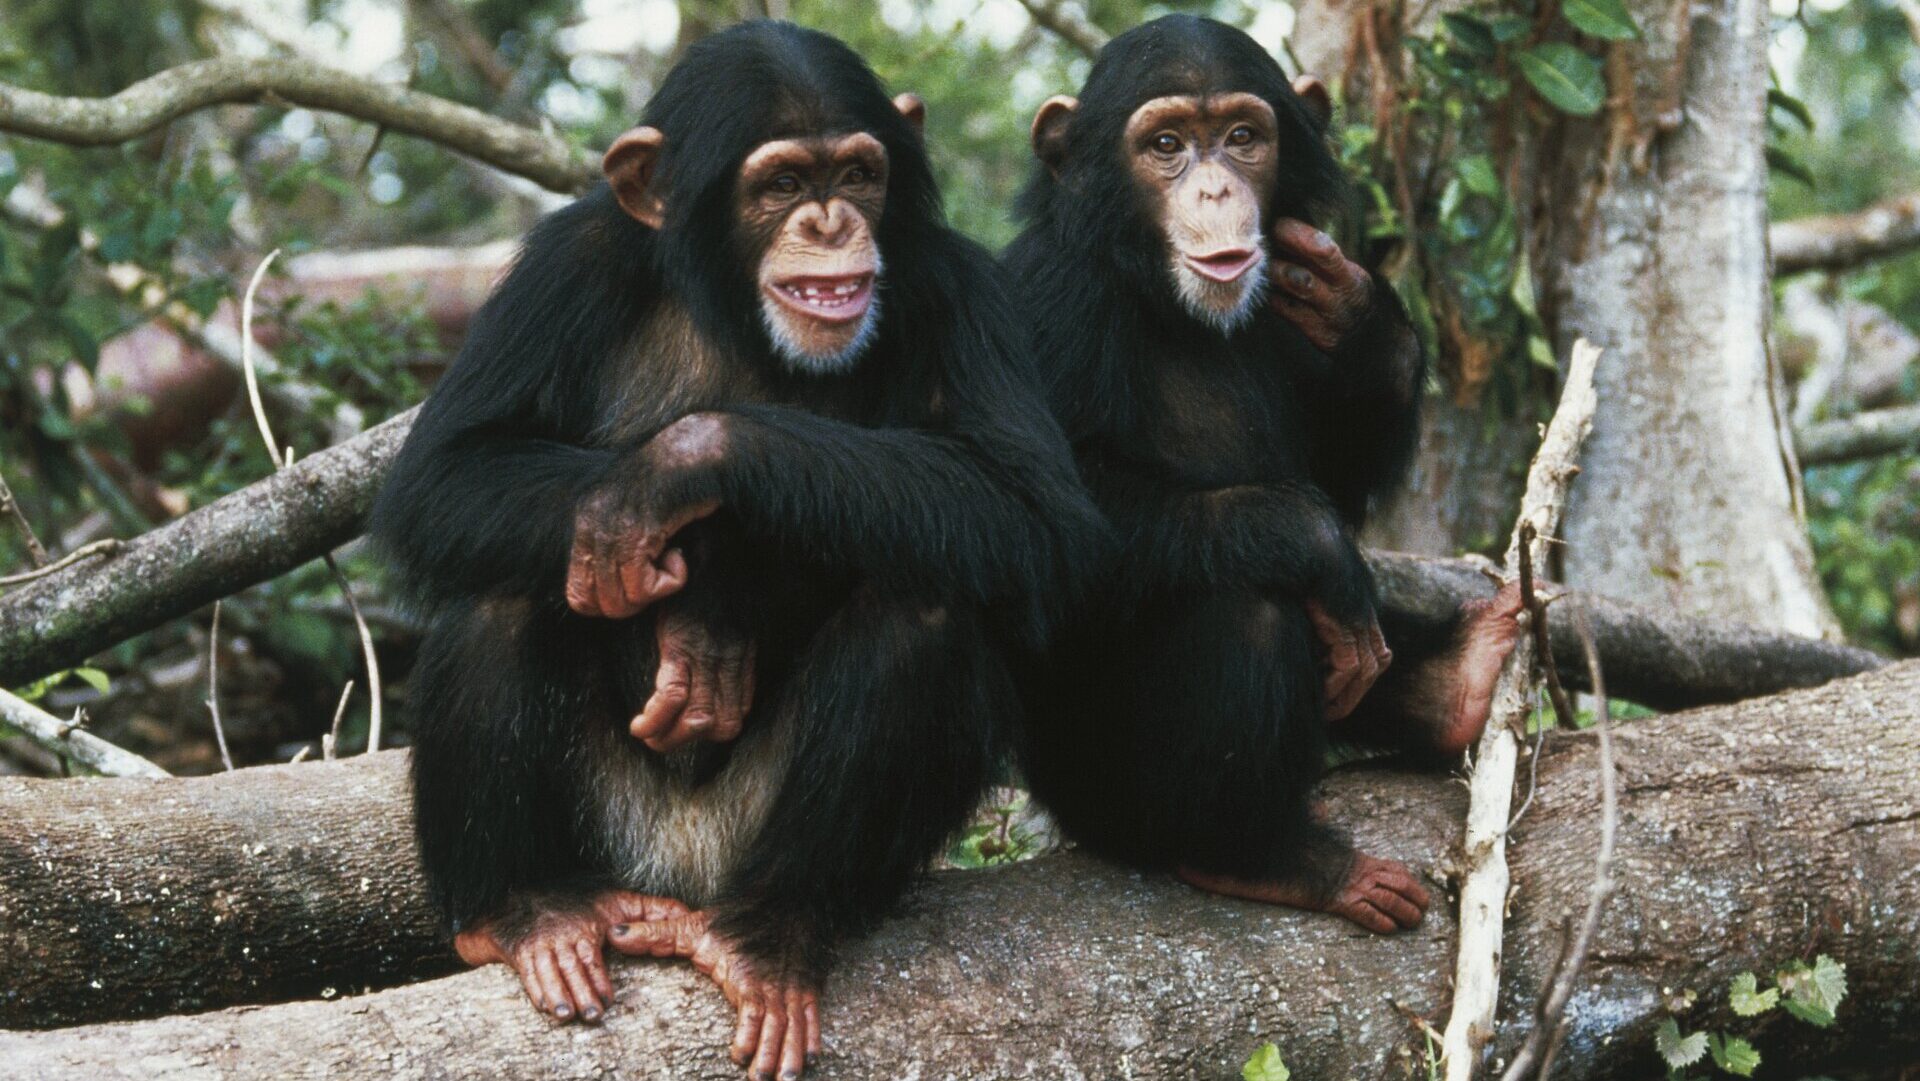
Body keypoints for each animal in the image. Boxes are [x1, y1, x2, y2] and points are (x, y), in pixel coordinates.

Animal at [366, 21, 1105, 1075]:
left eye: (859, 172)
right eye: (782, 183)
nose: (832, 224)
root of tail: (684, 876)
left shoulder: (962, 286)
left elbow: (1030, 509)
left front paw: (683, 497)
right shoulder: (566, 261)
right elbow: (447, 469)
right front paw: (685, 589)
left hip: (741, 841)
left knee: (927, 606)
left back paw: (766, 932)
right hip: (612, 835)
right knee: (501, 594)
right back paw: (525, 912)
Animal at [1013, 12, 1520, 933]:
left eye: (1243, 138)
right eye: (1167, 144)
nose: (1216, 190)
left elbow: (1336, 472)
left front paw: (1356, 311)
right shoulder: (1045, 301)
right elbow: (1050, 522)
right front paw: (1314, 539)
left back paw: (1454, 676)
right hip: (1101, 794)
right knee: (1249, 604)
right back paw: (1267, 858)